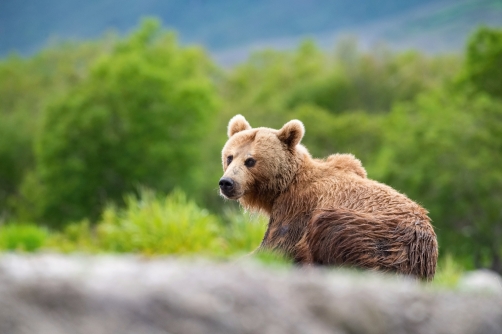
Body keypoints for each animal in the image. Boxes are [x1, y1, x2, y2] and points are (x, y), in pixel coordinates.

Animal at [218, 115, 438, 280]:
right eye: (229, 157)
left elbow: (276, 247)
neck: (282, 187)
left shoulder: (297, 207)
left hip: (374, 235)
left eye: (250, 161)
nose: (227, 182)